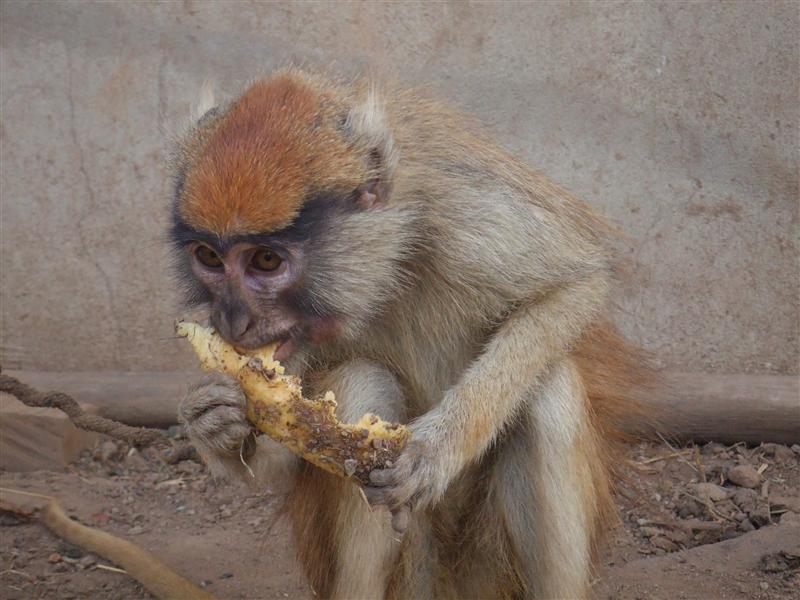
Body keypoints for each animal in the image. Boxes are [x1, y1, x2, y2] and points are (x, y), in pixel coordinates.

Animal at [170, 69, 650, 600]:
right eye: (209, 257)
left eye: (267, 261)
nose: (231, 320)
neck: (383, 273)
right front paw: (214, 422)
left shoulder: (462, 210)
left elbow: (577, 285)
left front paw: (434, 450)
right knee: (364, 381)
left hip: (491, 567)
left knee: (547, 392)